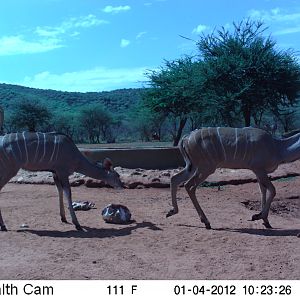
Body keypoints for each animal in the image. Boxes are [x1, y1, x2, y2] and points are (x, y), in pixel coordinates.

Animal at [168, 126, 298, 230]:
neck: (277, 147)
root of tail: (186, 137)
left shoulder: (259, 172)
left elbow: (263, 191)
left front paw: (265, 221)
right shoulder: (259, 169)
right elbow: (272, 190)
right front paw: (258, 216)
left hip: (193, 167)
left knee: (175, 179)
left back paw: (172, 211)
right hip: (206, 168)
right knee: (189, 186)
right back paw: (206, 222)